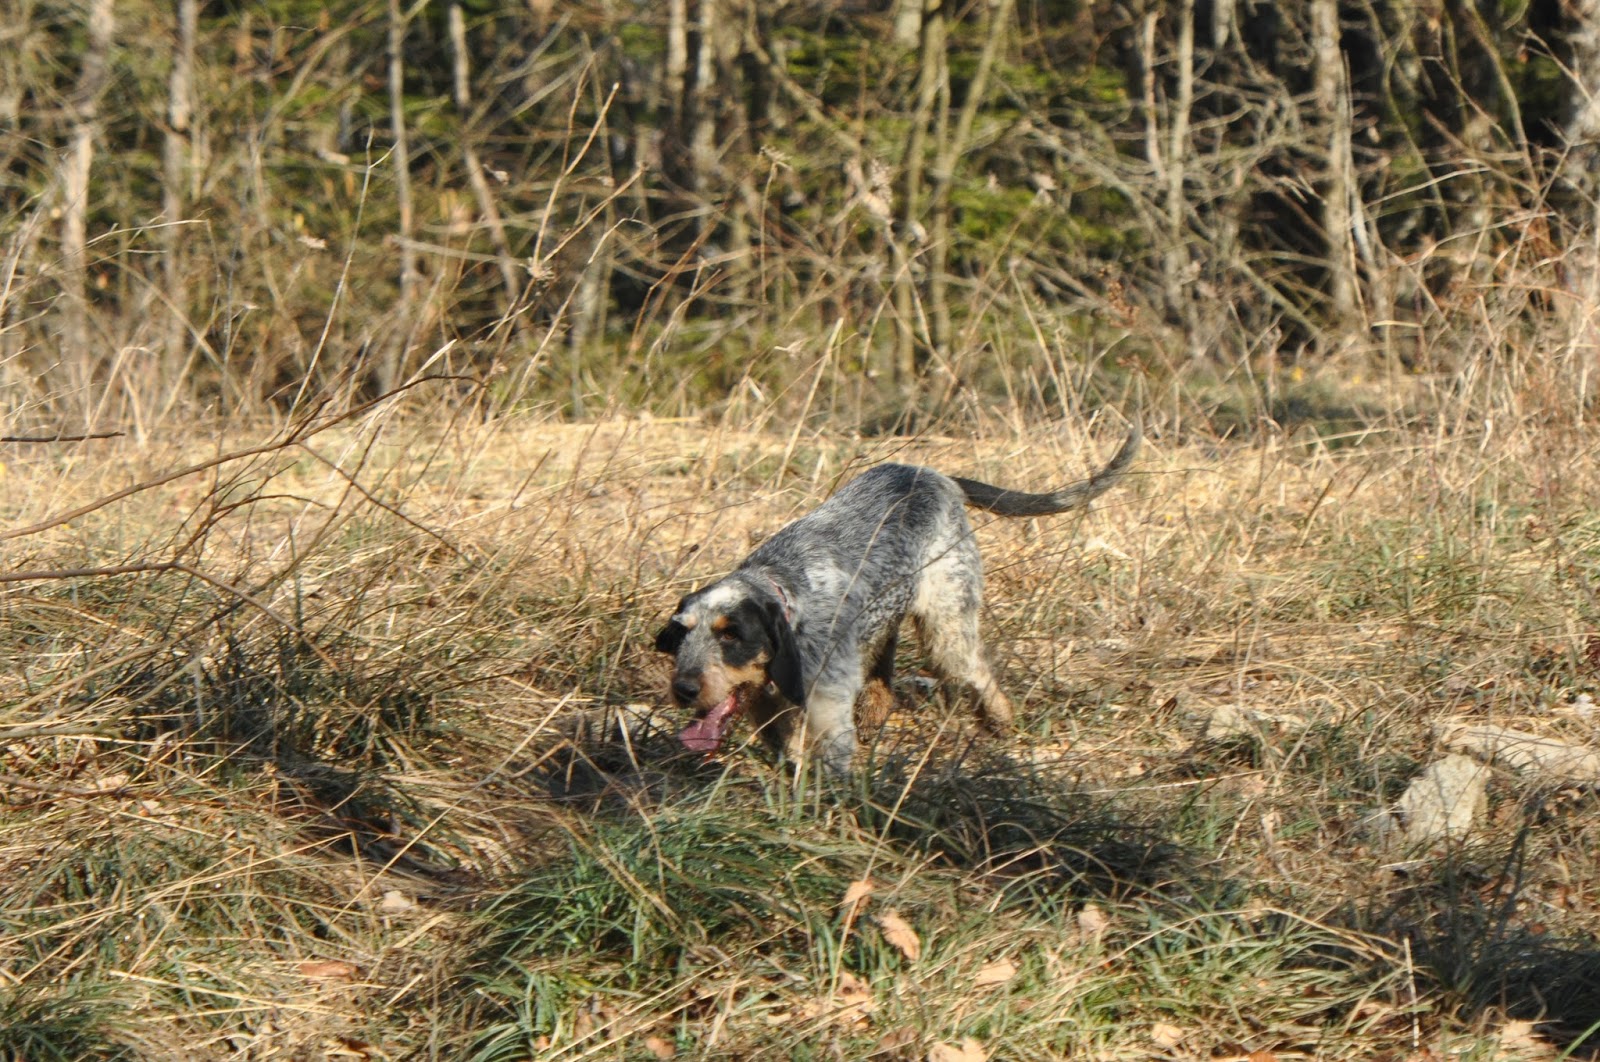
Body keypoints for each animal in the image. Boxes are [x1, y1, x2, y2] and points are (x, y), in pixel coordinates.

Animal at [649, 428, 1139, 777]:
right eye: (681, 634)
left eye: (732, 634)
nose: (684, 689)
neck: (789, 597)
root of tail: (938, 476)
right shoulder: (770, 713)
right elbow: (788, 755)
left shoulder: (828, 713)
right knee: (885, 661)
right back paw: (878, 708)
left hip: (947, 627)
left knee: (978, 673)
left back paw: (1000, 721)